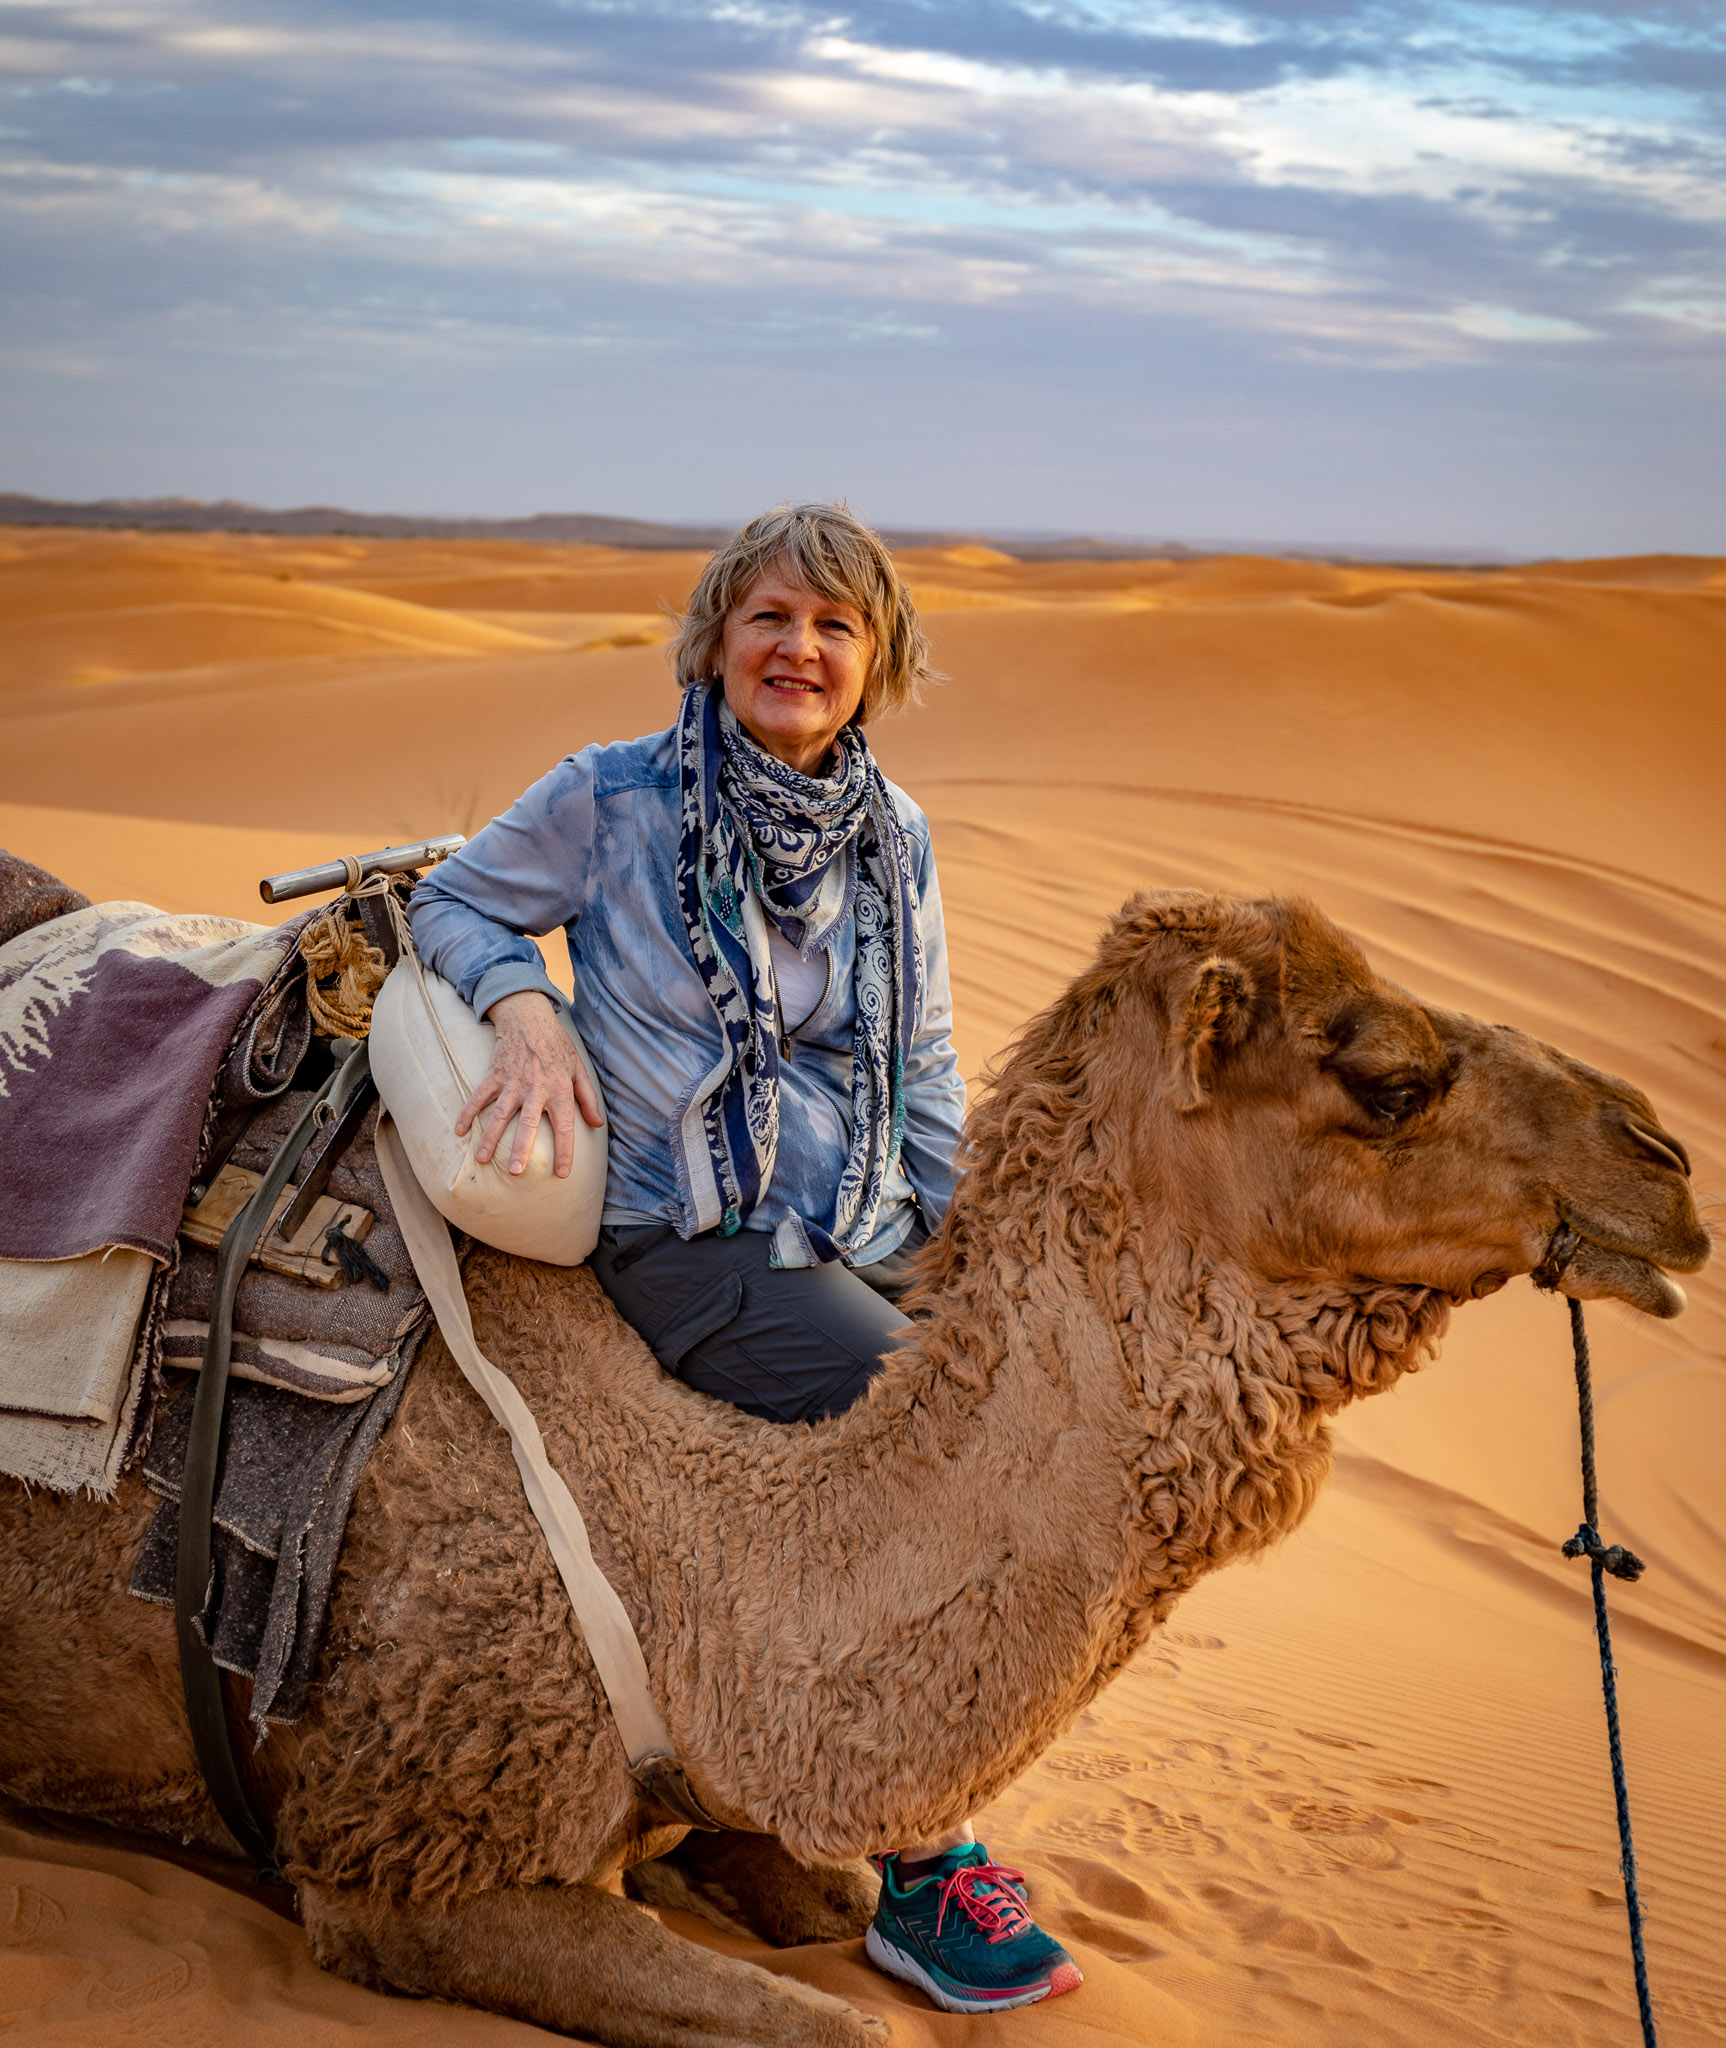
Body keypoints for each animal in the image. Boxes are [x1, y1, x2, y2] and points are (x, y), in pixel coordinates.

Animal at [0, 892, 1711, 2048]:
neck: (691, 1567)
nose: (1664, 1161)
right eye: (1389, 1080)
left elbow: (822, 1902)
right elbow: (844, 2026)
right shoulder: (400, 1859)